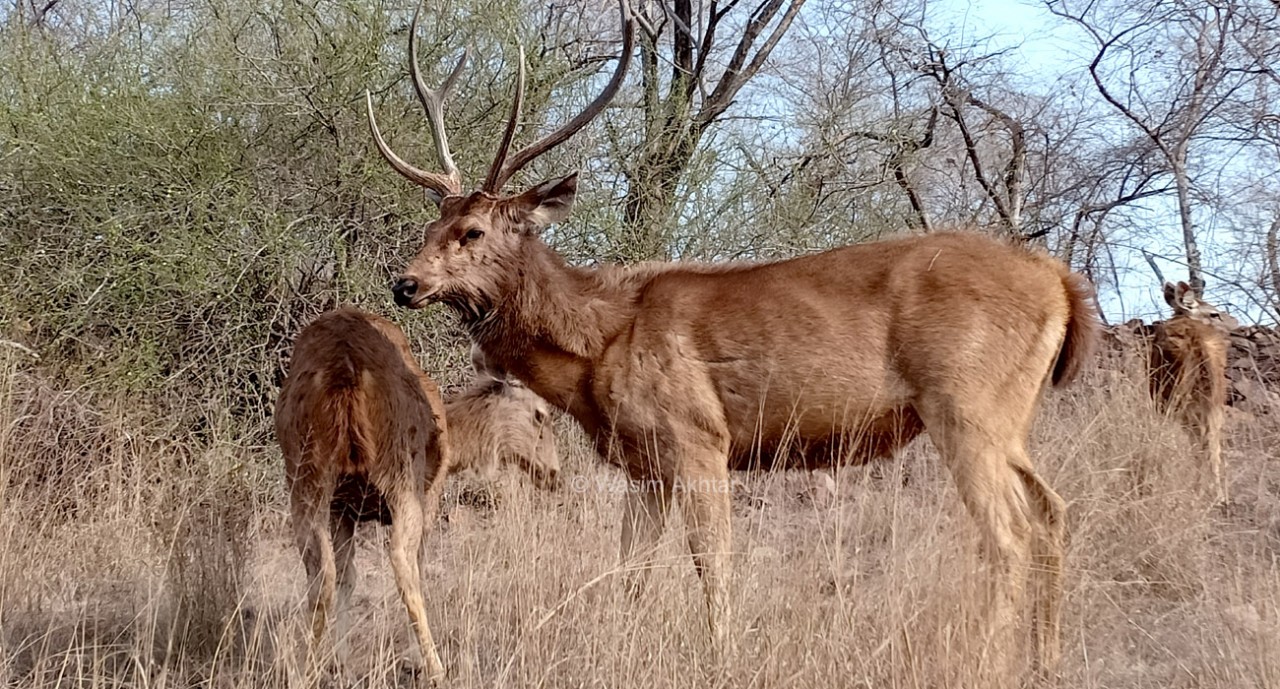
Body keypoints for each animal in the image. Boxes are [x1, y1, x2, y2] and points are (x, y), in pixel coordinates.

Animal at [277, 307, 558, 681]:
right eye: (540, 414)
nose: (554, 473)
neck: (456, 446)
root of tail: (345, 375)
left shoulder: (343, 509)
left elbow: (347, 577)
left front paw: (341, 661)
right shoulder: (431, 492)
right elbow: (417, 568)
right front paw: (413, 659)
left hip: (306, 479)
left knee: (321, 573)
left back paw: (304, 668)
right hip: (401, 475)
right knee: (401, 562)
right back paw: (435, 666)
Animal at [363, 0, 1100, 676]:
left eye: (473, 231)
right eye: (432, 226)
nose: (405, 283)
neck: (600, 342)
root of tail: (1061, 283)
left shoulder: (699, 437)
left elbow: (711, 564)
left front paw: (722, 659)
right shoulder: (645, 465)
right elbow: (630, 572)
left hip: (964, 403)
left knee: (1009, 532)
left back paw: (988, 662)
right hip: (1007, 417)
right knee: (1054, 511)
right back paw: (1047, 660)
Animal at [1146, 279, 1233, 499]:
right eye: (1214, 314)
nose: (1231, 326)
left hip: (1173, 392)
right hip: (1213, 397)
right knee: (1211, 442)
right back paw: (1217, 496)